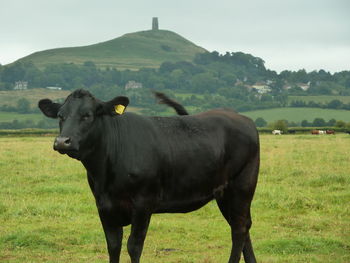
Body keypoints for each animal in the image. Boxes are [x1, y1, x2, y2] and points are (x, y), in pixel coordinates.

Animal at [39, 90, 262, 263]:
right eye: (60, 116)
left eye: (87, 115)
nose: (62, 141)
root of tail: (242, 118)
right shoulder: (104, 206)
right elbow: (113, 245)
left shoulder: (143, 203)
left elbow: (133, 246)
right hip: (223, 193)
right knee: (243, 226)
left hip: (242, 185)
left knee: (239, 229)